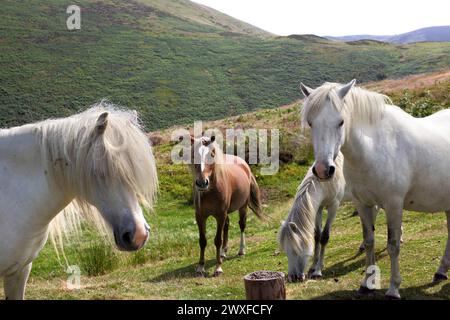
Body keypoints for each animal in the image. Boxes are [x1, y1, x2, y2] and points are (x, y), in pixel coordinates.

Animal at [185, 134, 266, 276]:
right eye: (194, 155)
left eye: (212, 154)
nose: (202, 183)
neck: (211, 191)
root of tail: (244, 164)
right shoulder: (200, 216)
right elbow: (202, 240)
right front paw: (200, 267)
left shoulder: (220, 215)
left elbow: (218, 240)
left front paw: (218, 268)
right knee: (226, 226)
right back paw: (223, 252)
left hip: (242, 207)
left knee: (242, 225)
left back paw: (241, 250)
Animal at [298, 80, 450, 300]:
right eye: (311, 123)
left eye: (341, 122)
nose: (323, 170)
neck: (373, 148)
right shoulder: (362, 204)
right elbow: (369, 241)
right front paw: (366, 284)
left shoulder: (393, 205)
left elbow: (393, 245)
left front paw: (393, 289)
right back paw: (441, 271)